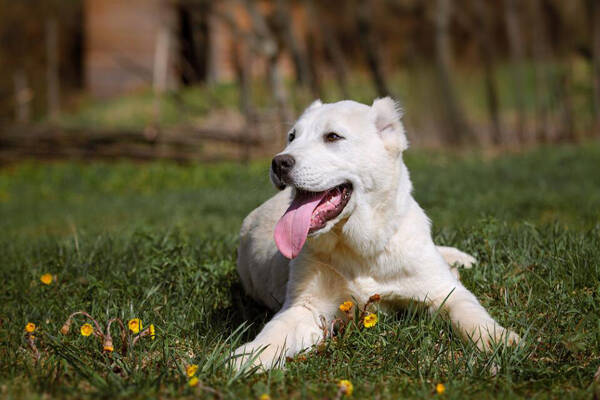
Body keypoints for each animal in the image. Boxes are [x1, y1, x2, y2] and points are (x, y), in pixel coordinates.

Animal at [237, 98, 516, 370]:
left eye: (333, 137)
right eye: (292, 137)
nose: (278, 163)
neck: (362, 249)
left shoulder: (445, 292)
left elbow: (469, 312)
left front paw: (499, 339)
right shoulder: (306, 307)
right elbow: (275, 331)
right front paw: (244, 358)